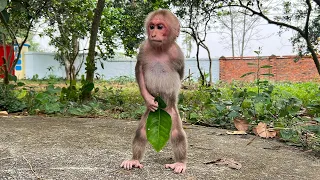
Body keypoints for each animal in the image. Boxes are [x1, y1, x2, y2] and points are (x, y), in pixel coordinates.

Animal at [120, 9, 188, 174]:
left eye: (160, 27)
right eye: (152, 26)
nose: (153, 34)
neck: (160, 50)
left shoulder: (178, 53)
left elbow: (180, 72)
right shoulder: (144, 47)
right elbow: (139, 69)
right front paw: (149, 99)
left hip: (171, 113)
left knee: (177, 134)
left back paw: (180, 163)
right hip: (150, 115)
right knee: (142, 132)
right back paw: (134, 160)